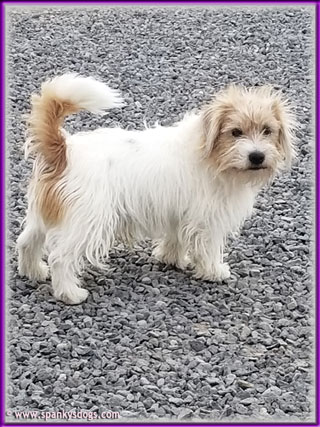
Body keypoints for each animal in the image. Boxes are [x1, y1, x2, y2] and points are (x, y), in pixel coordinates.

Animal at [16, 75, 296, 306]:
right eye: (236, 132)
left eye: (267, 130)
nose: (257, 156)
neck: (210, 154)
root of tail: (65, 151)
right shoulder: (207, 221)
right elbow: (207, 249)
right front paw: (213, 271)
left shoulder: (178, 213)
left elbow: (175, 239)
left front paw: (171, 259)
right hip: (86, 222)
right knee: (60, 258)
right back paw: (69, 293)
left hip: (45, 216)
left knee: (26, 242)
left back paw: (34, 272)